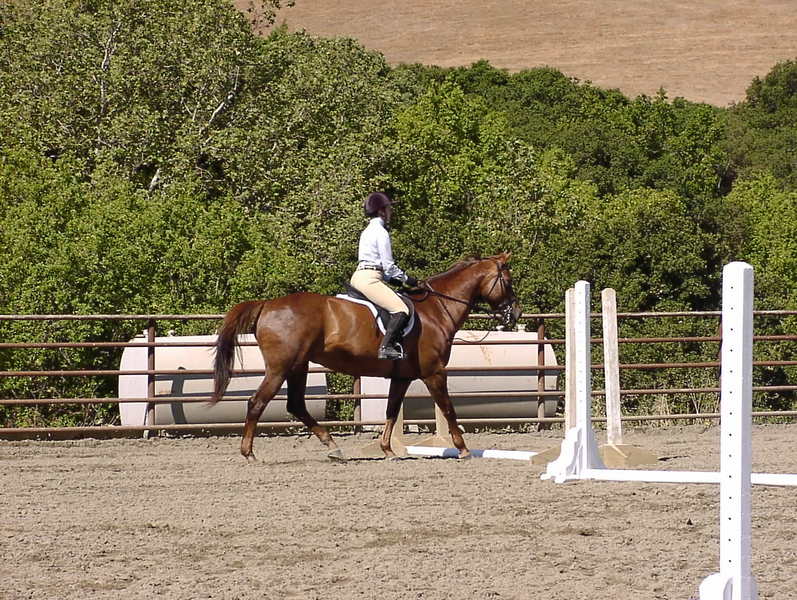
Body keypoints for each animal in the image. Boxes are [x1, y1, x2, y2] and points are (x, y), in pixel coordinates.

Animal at [210, 252, 521, 461]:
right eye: (508, 281)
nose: (515, 314)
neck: (436, 310)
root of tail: (267, 305)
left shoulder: (402, 377)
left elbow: (391, 411)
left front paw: (388, 450)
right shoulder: (434, 373)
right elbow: (448, 409)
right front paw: (463, 449)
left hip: (299, 366)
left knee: (296, 405)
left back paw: (333, 447)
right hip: (280, 368)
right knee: (257, 402)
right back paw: (249, 453)